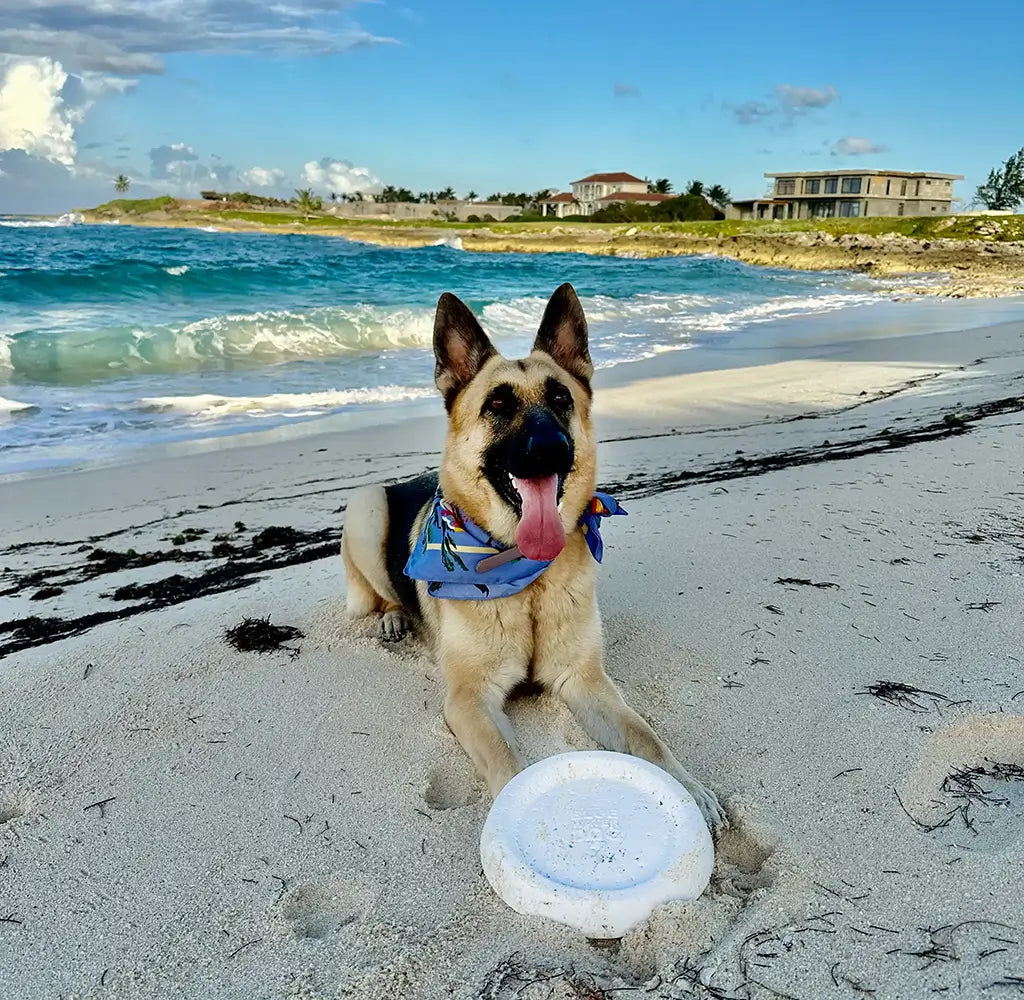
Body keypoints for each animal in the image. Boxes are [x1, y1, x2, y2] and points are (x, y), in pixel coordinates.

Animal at [339, 282, 724, 827]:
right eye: (497, 405)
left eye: (561, 398)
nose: (549, 448)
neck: (526, 579)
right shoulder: (469, 700)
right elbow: (507, 761)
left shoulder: (586, 681)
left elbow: (645, 736)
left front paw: (687, 787)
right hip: (366, 504)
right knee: (382, 592)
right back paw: (393, 616)